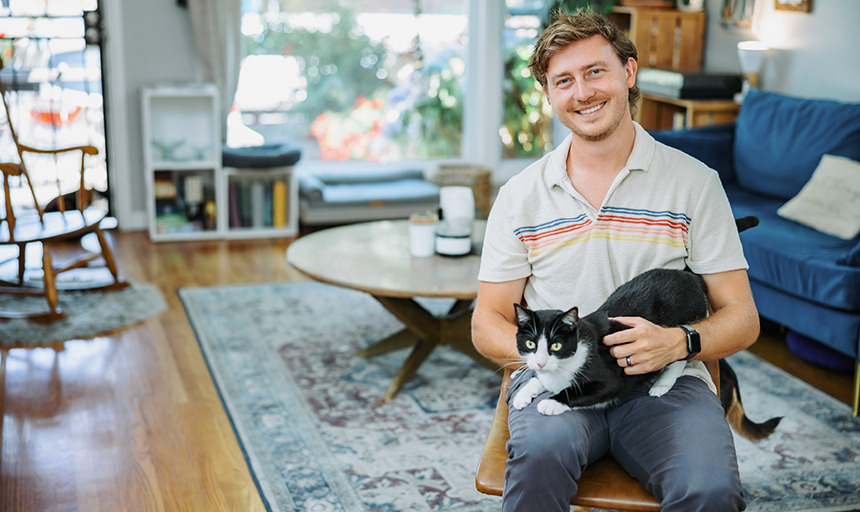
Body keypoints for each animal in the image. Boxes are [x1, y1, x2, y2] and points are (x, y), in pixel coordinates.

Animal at [512, 268, 708, 416]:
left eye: (556, 345)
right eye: (530, 344)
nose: (541, 363)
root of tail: (691, 277)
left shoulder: (611, 379)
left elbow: (580, 391)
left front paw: (551, 403)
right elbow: (541, 379)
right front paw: (523, 394)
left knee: (678, 356)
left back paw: (662, 384)